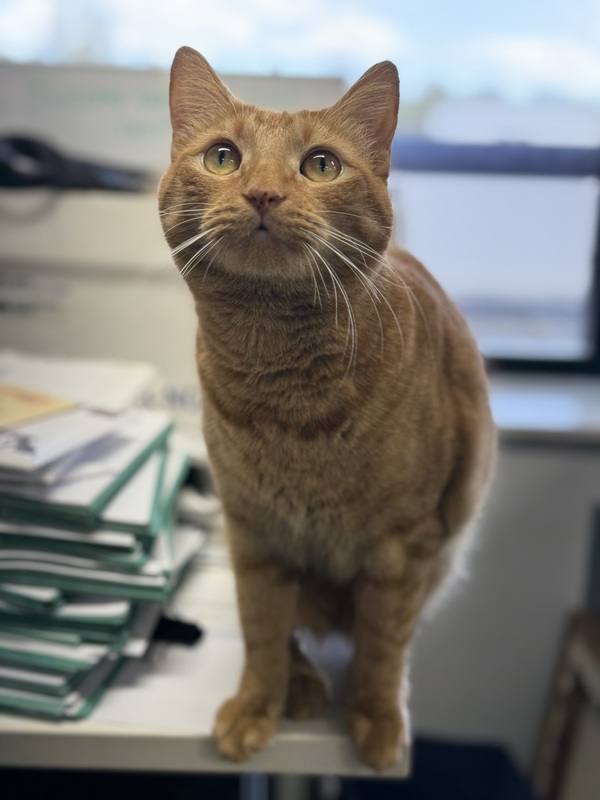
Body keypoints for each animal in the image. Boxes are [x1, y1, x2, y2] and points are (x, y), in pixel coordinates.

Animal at [159, 46, 496, 771]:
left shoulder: (404, 549)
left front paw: (376, 719)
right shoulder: (253, 533)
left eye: (320, 165)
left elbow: (383, 647)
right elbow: (260, 631)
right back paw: (304, 685)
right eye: (224, 157)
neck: (285, 400)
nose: (262, 193)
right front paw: (258, 706)